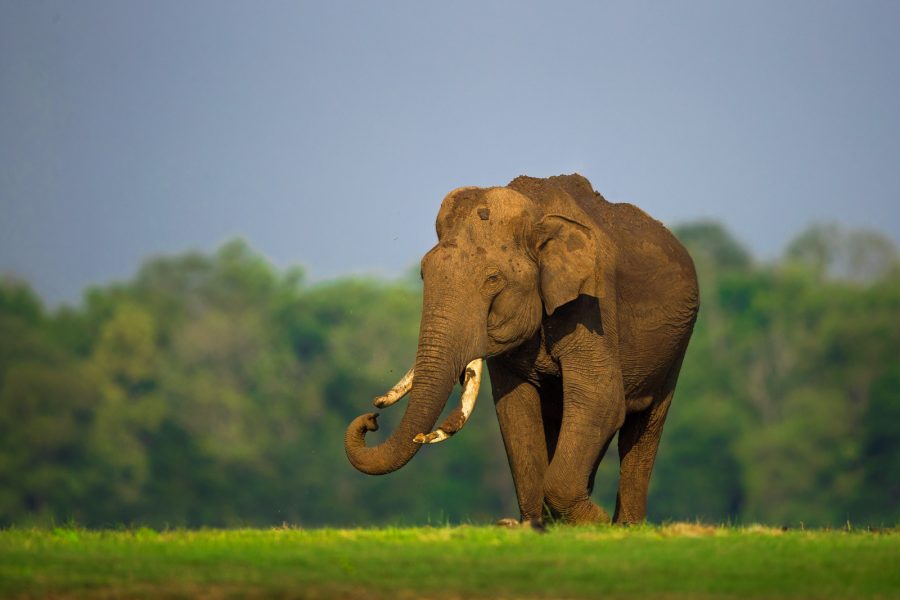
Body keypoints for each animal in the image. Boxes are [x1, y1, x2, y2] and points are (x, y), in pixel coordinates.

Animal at [345, 173, 699, 525]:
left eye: (492, 279)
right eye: (422, 273)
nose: (372, 418)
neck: (536, 215)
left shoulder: (592, 303)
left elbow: (603, 398)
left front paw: (595, 521)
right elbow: (515, 408)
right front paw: (535, 525)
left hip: (677, 343)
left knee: (644, 425)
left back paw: (625, 525)